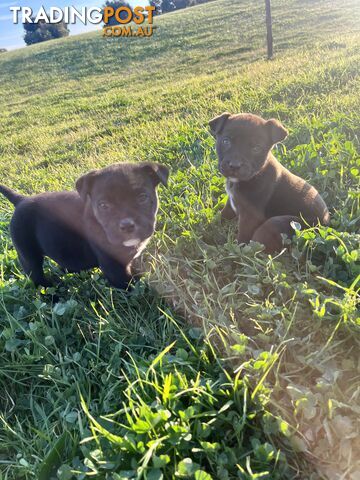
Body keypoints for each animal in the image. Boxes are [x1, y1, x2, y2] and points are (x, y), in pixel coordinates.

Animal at [0, 161, 169, 288]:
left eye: (142, 198)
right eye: (103, 205)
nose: (127, 225)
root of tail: (21, 200)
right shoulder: (114, 268)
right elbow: (130, 287)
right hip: (28, 255)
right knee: (37, 278)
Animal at [208, 113, 330, 253]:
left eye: (256, 148)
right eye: (226, 141)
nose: (235, 165)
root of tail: (326, 221)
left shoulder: (250, 217)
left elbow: (242, 238)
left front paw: (236, 252)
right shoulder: (231, 202)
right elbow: (223, 214)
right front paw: (209, 228)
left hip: (285, 224)